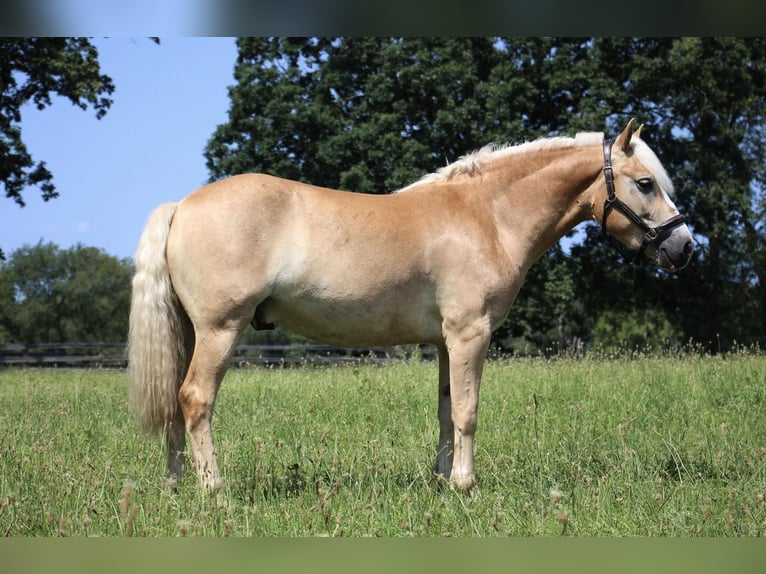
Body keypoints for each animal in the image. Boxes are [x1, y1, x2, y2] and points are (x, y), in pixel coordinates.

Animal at [127, 118, 696, 496]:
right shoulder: (471, 333)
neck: (488, 215)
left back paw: (176, 485)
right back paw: (214, 491)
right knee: (196, 399)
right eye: (645, 183)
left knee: (175, 401)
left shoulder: (447, 342)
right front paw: (466, 486)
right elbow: (468, 411)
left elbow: (446, 409)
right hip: (221, 330)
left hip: (189, 332)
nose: (685, 247)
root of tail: (181, 206)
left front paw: (442, 482)